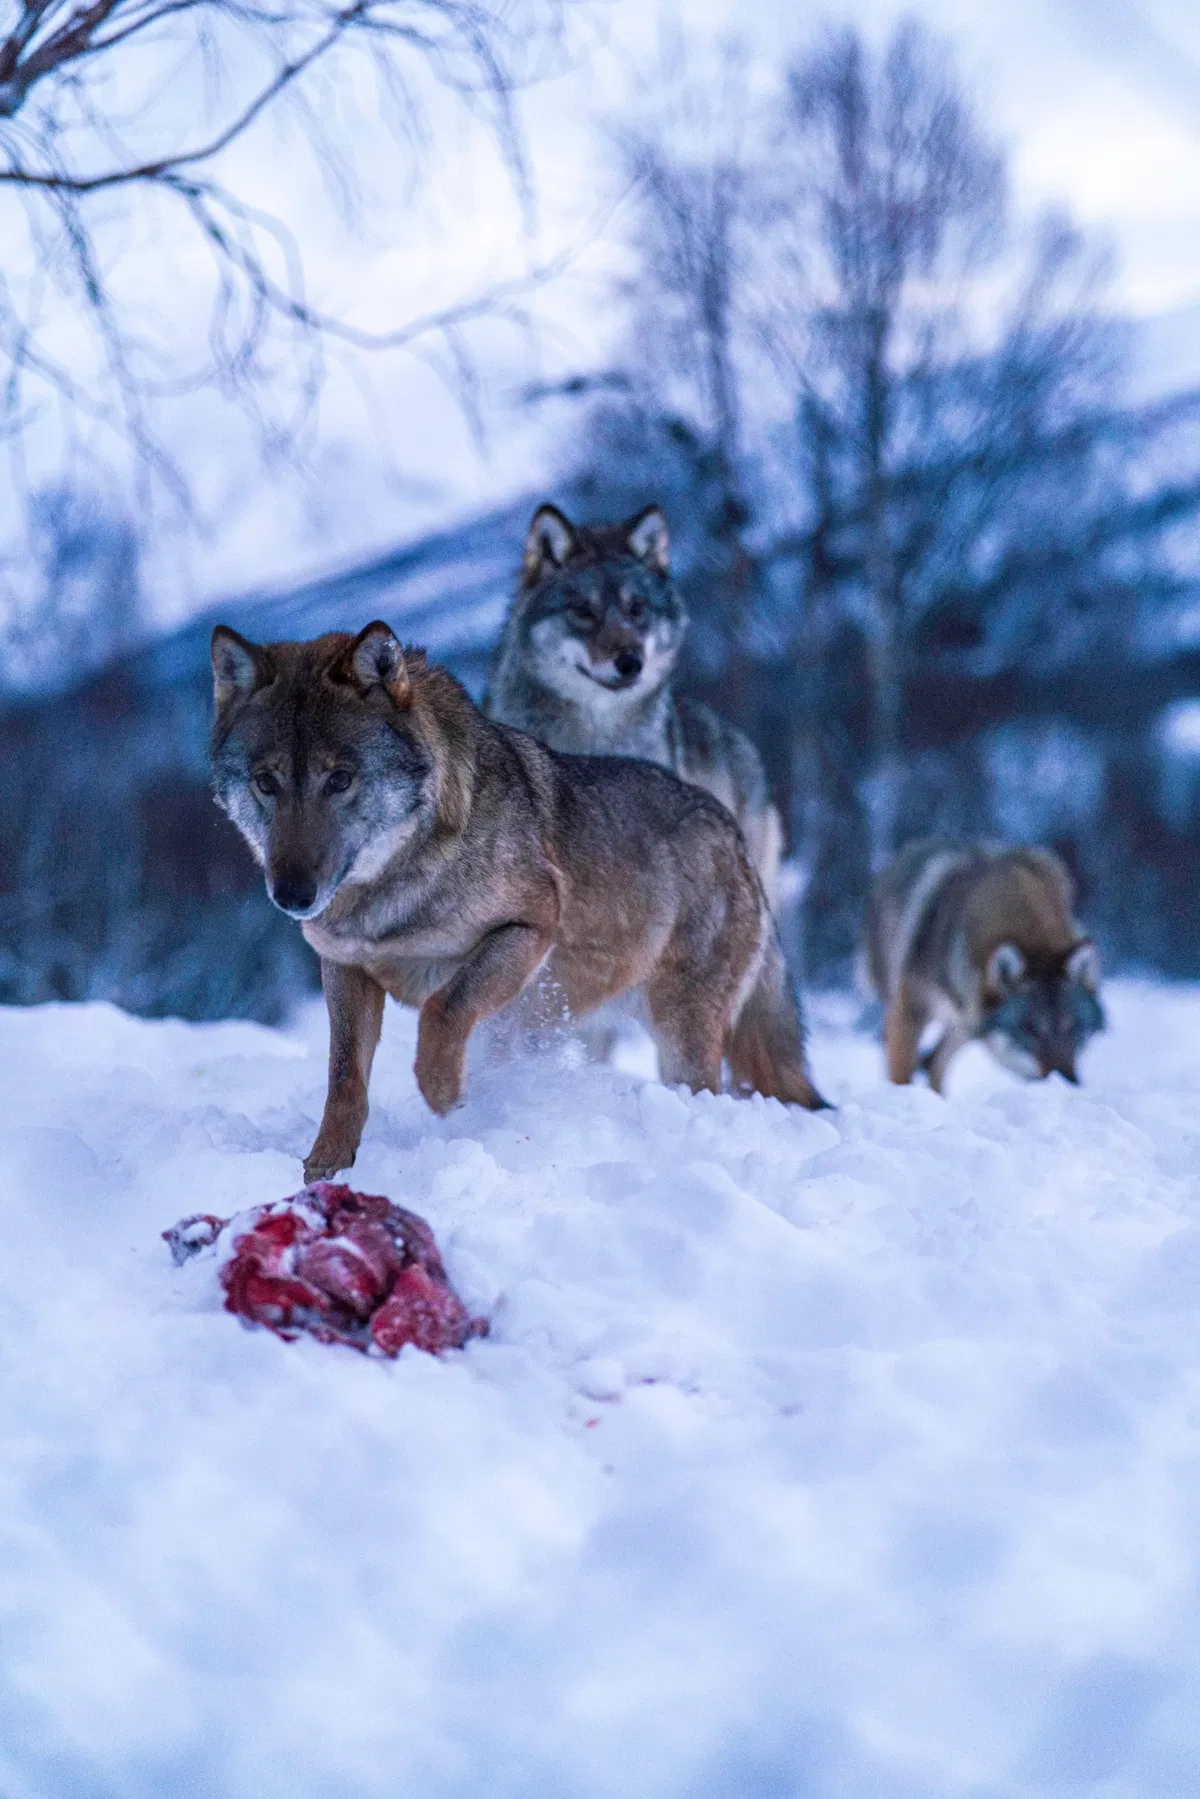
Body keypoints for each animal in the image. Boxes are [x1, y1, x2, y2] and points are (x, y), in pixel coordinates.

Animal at [210, 621, 826, 1180]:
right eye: (266, 783)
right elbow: (343, 1076)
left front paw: (448, 1098)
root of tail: (734, 833)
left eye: (339, 779)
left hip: (681, 1040)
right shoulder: (344, 966)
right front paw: (326, 1168)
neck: (388, 894)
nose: (292, 896)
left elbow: (443, 1010)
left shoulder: (529, 930)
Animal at [865, 839, 1104, 1091]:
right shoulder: (906, 1014)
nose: (1069, 1082)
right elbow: (900, 1078)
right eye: (1029, 1030)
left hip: (965, 1028)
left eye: (1073, 1027)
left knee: (934, 1064)